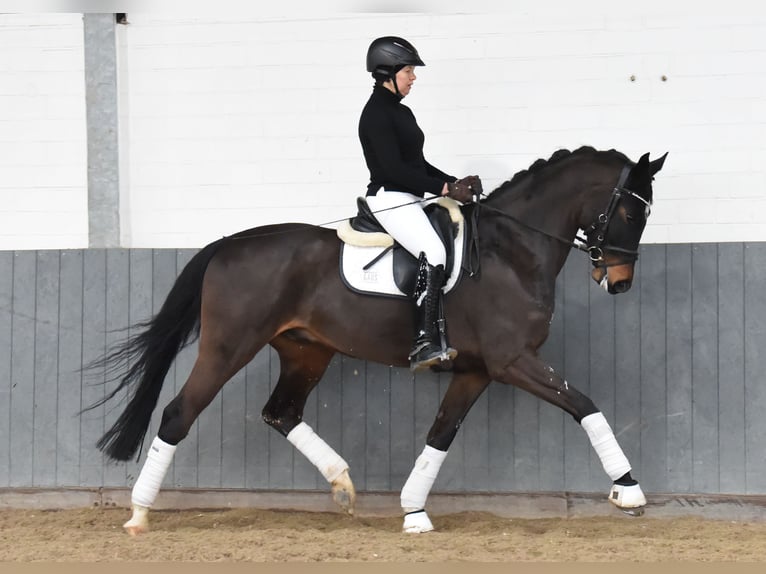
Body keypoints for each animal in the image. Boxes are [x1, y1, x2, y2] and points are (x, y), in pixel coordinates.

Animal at [87, 145, 668, 536]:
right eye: (630, 211)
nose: (619, 282)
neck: (511, 250)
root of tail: (230, 244)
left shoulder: (477, 370)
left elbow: (441, 433)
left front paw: (414, 511)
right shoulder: (513, 361)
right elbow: (585, 404)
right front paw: (629, 490)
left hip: (306, 351)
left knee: (281, 412)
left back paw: (343, 486)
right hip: (228, 347)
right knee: (178, 414)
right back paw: (138, 514)